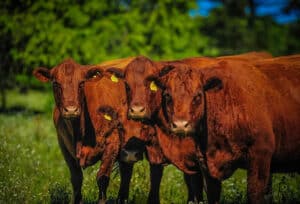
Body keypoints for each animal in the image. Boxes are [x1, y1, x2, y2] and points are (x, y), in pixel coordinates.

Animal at [31, 57, 134, 204]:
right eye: (56, 84)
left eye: (81, 83)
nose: (71, 110)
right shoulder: (63, 145)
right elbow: (76, 178)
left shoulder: (112, 143)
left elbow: (102, 178)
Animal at [155, 56, 300, 204]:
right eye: (167, 95)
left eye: (198, 95)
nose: (180, 124)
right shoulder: (206, 165)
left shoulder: (260, 157)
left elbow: (255, 194)